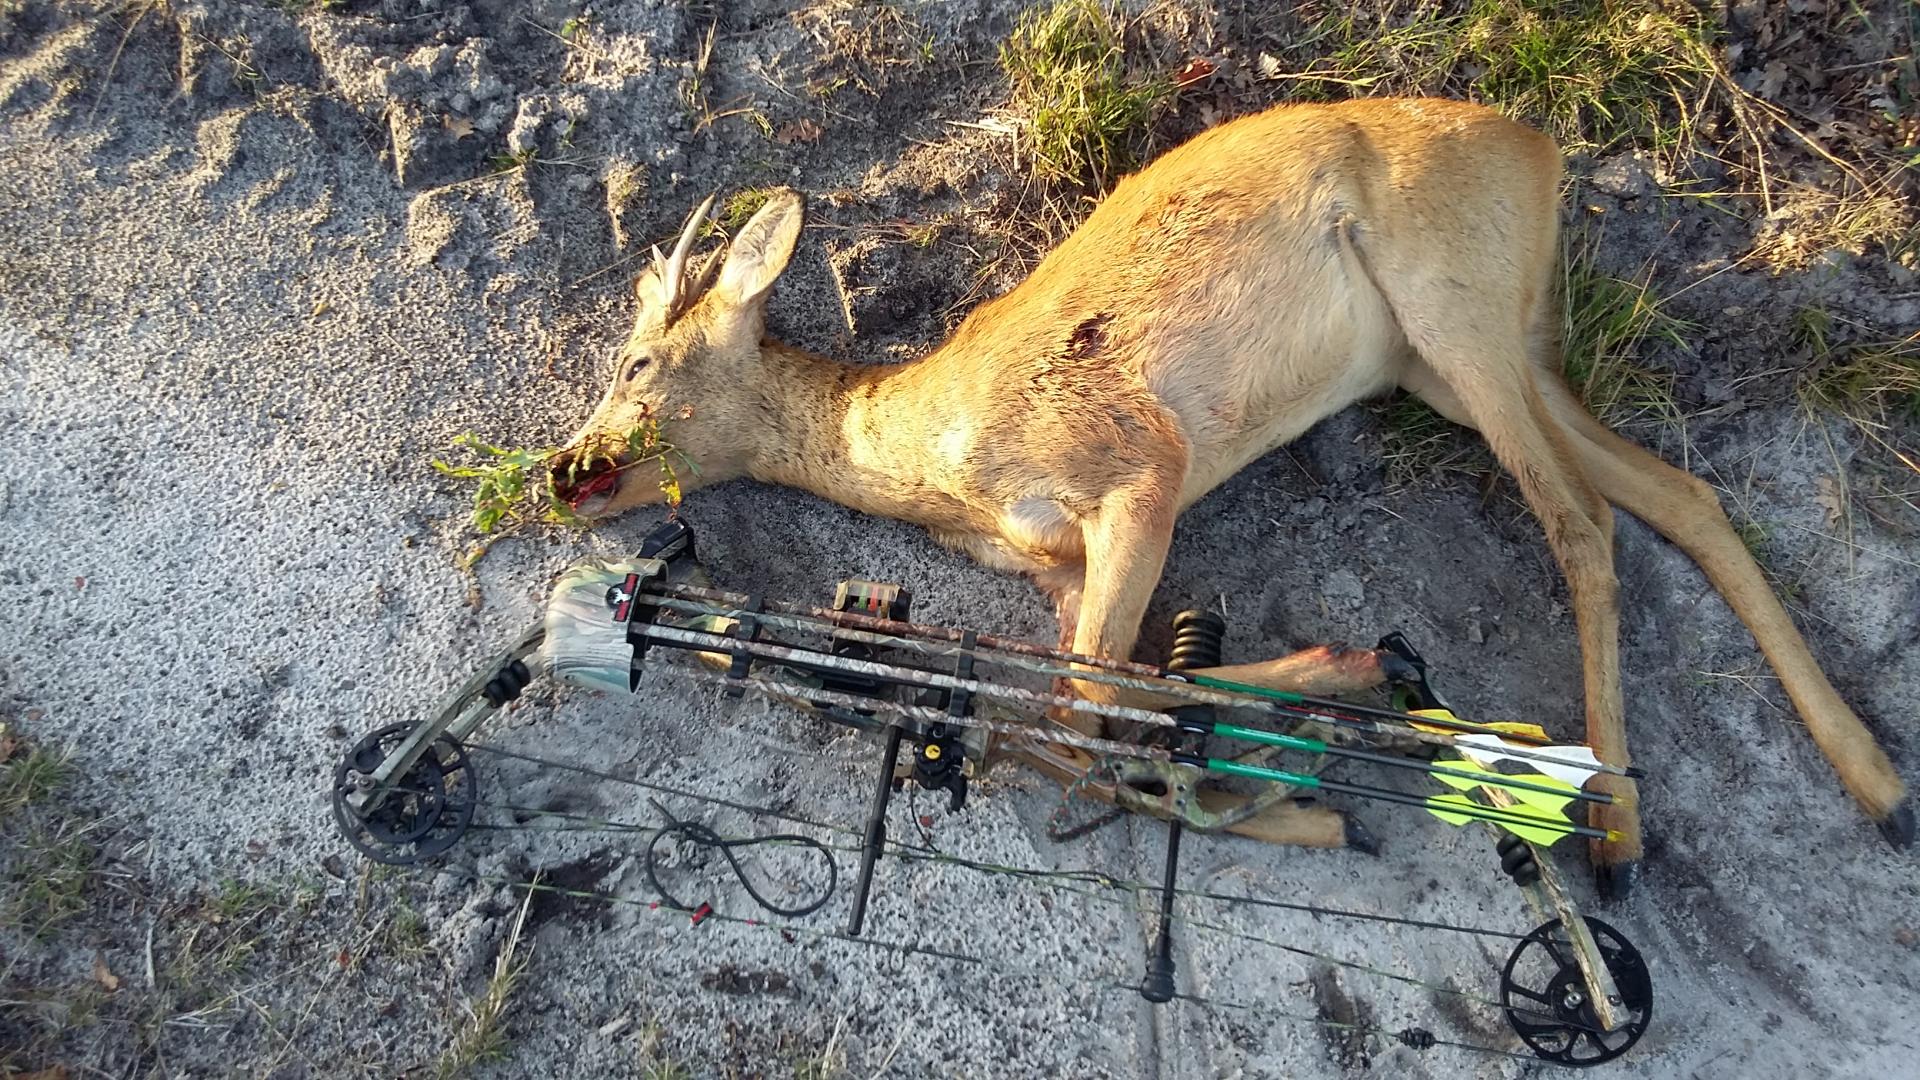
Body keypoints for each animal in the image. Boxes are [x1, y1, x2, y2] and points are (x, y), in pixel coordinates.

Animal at [549, 94, 1912, 891]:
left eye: (636, 363)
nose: (565, 473)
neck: (934, 455)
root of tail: (1546, 153)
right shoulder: (1057, 562)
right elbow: (1110, 690)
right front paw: (1322, 725)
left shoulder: (1138, 463)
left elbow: (1091, 703)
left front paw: (1306, 760)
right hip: (1470, 360)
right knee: (1677, 495)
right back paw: (1874, 783)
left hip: (1455, 310)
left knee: (1580, 522)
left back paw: (1614, 830)